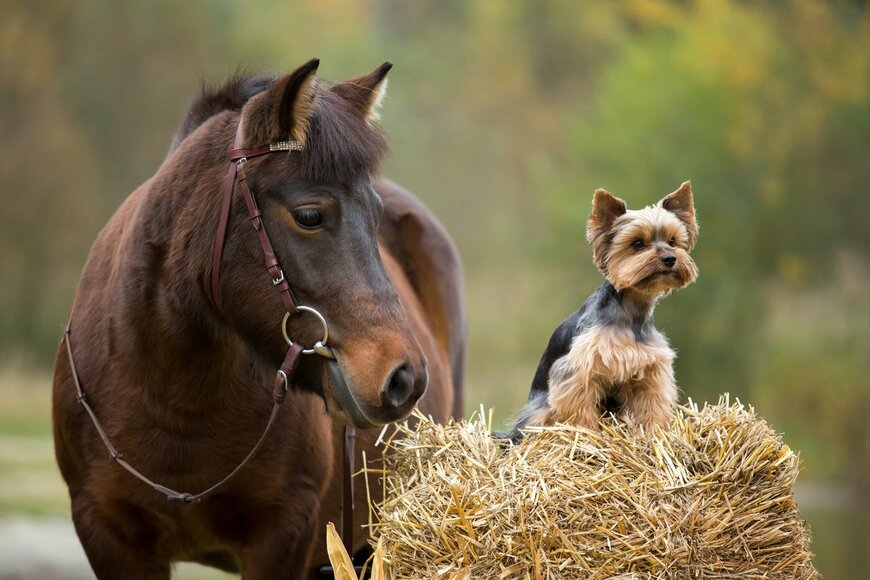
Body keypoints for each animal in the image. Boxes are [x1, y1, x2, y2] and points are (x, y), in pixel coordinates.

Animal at [52, 56, 466, 576]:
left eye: (375, 215)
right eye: (309, 215)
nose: (404, 378)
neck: (173, 398)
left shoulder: (284, 533)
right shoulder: (105, 531)